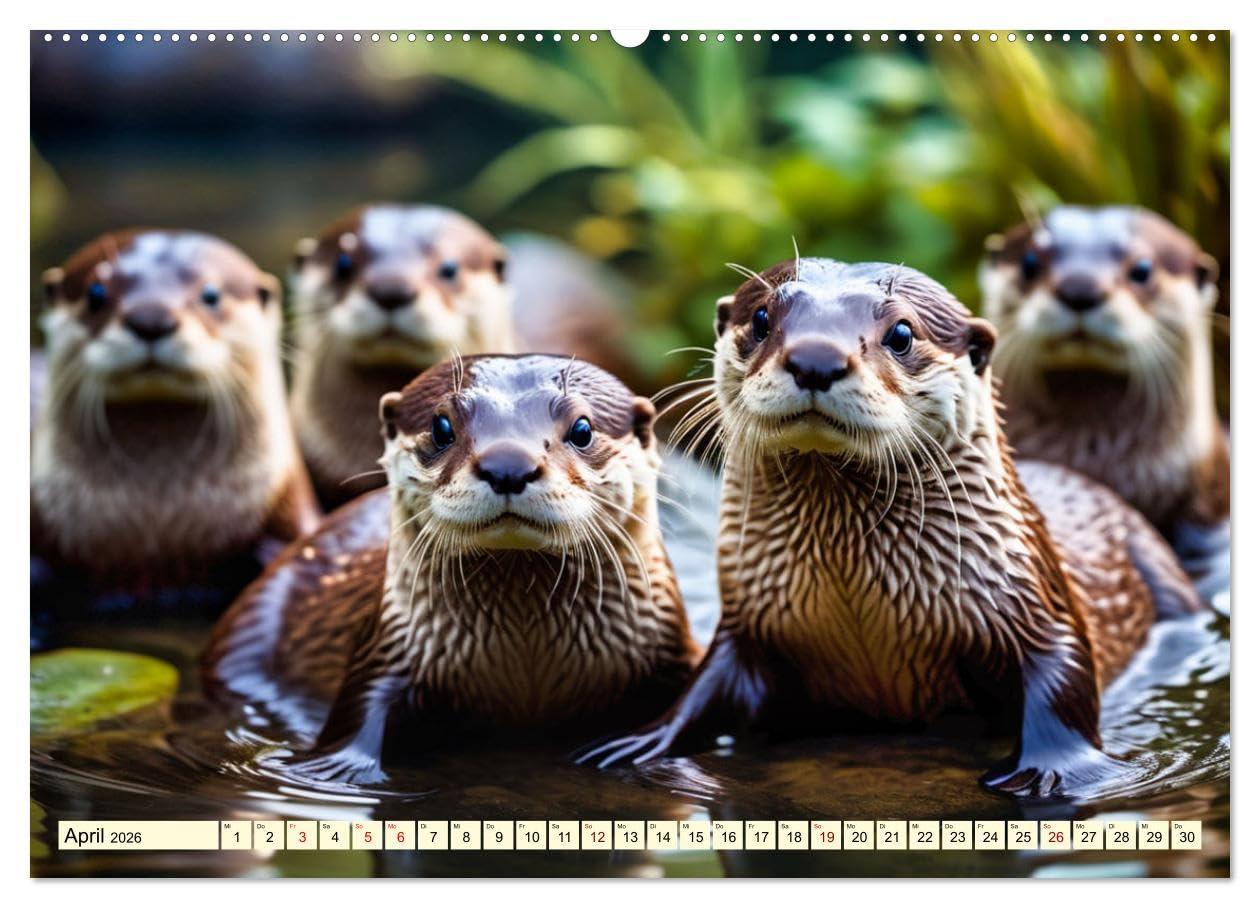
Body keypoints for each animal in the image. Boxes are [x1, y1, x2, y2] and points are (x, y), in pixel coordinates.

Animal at [204, 354, 699, 784]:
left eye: (582, 429)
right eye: (442, 426)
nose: (508, 465)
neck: (526, 665)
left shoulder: (673, 653)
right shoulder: (387, 650)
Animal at [579, 258, 1201, 797]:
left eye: (901, 333)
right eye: (760, 319)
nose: (815, 360)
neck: (856, 597)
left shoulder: (1029, 598)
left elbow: (1062, 675)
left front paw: (1052, 768)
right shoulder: (749, 622)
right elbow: (706, 688)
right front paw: (640, 741)